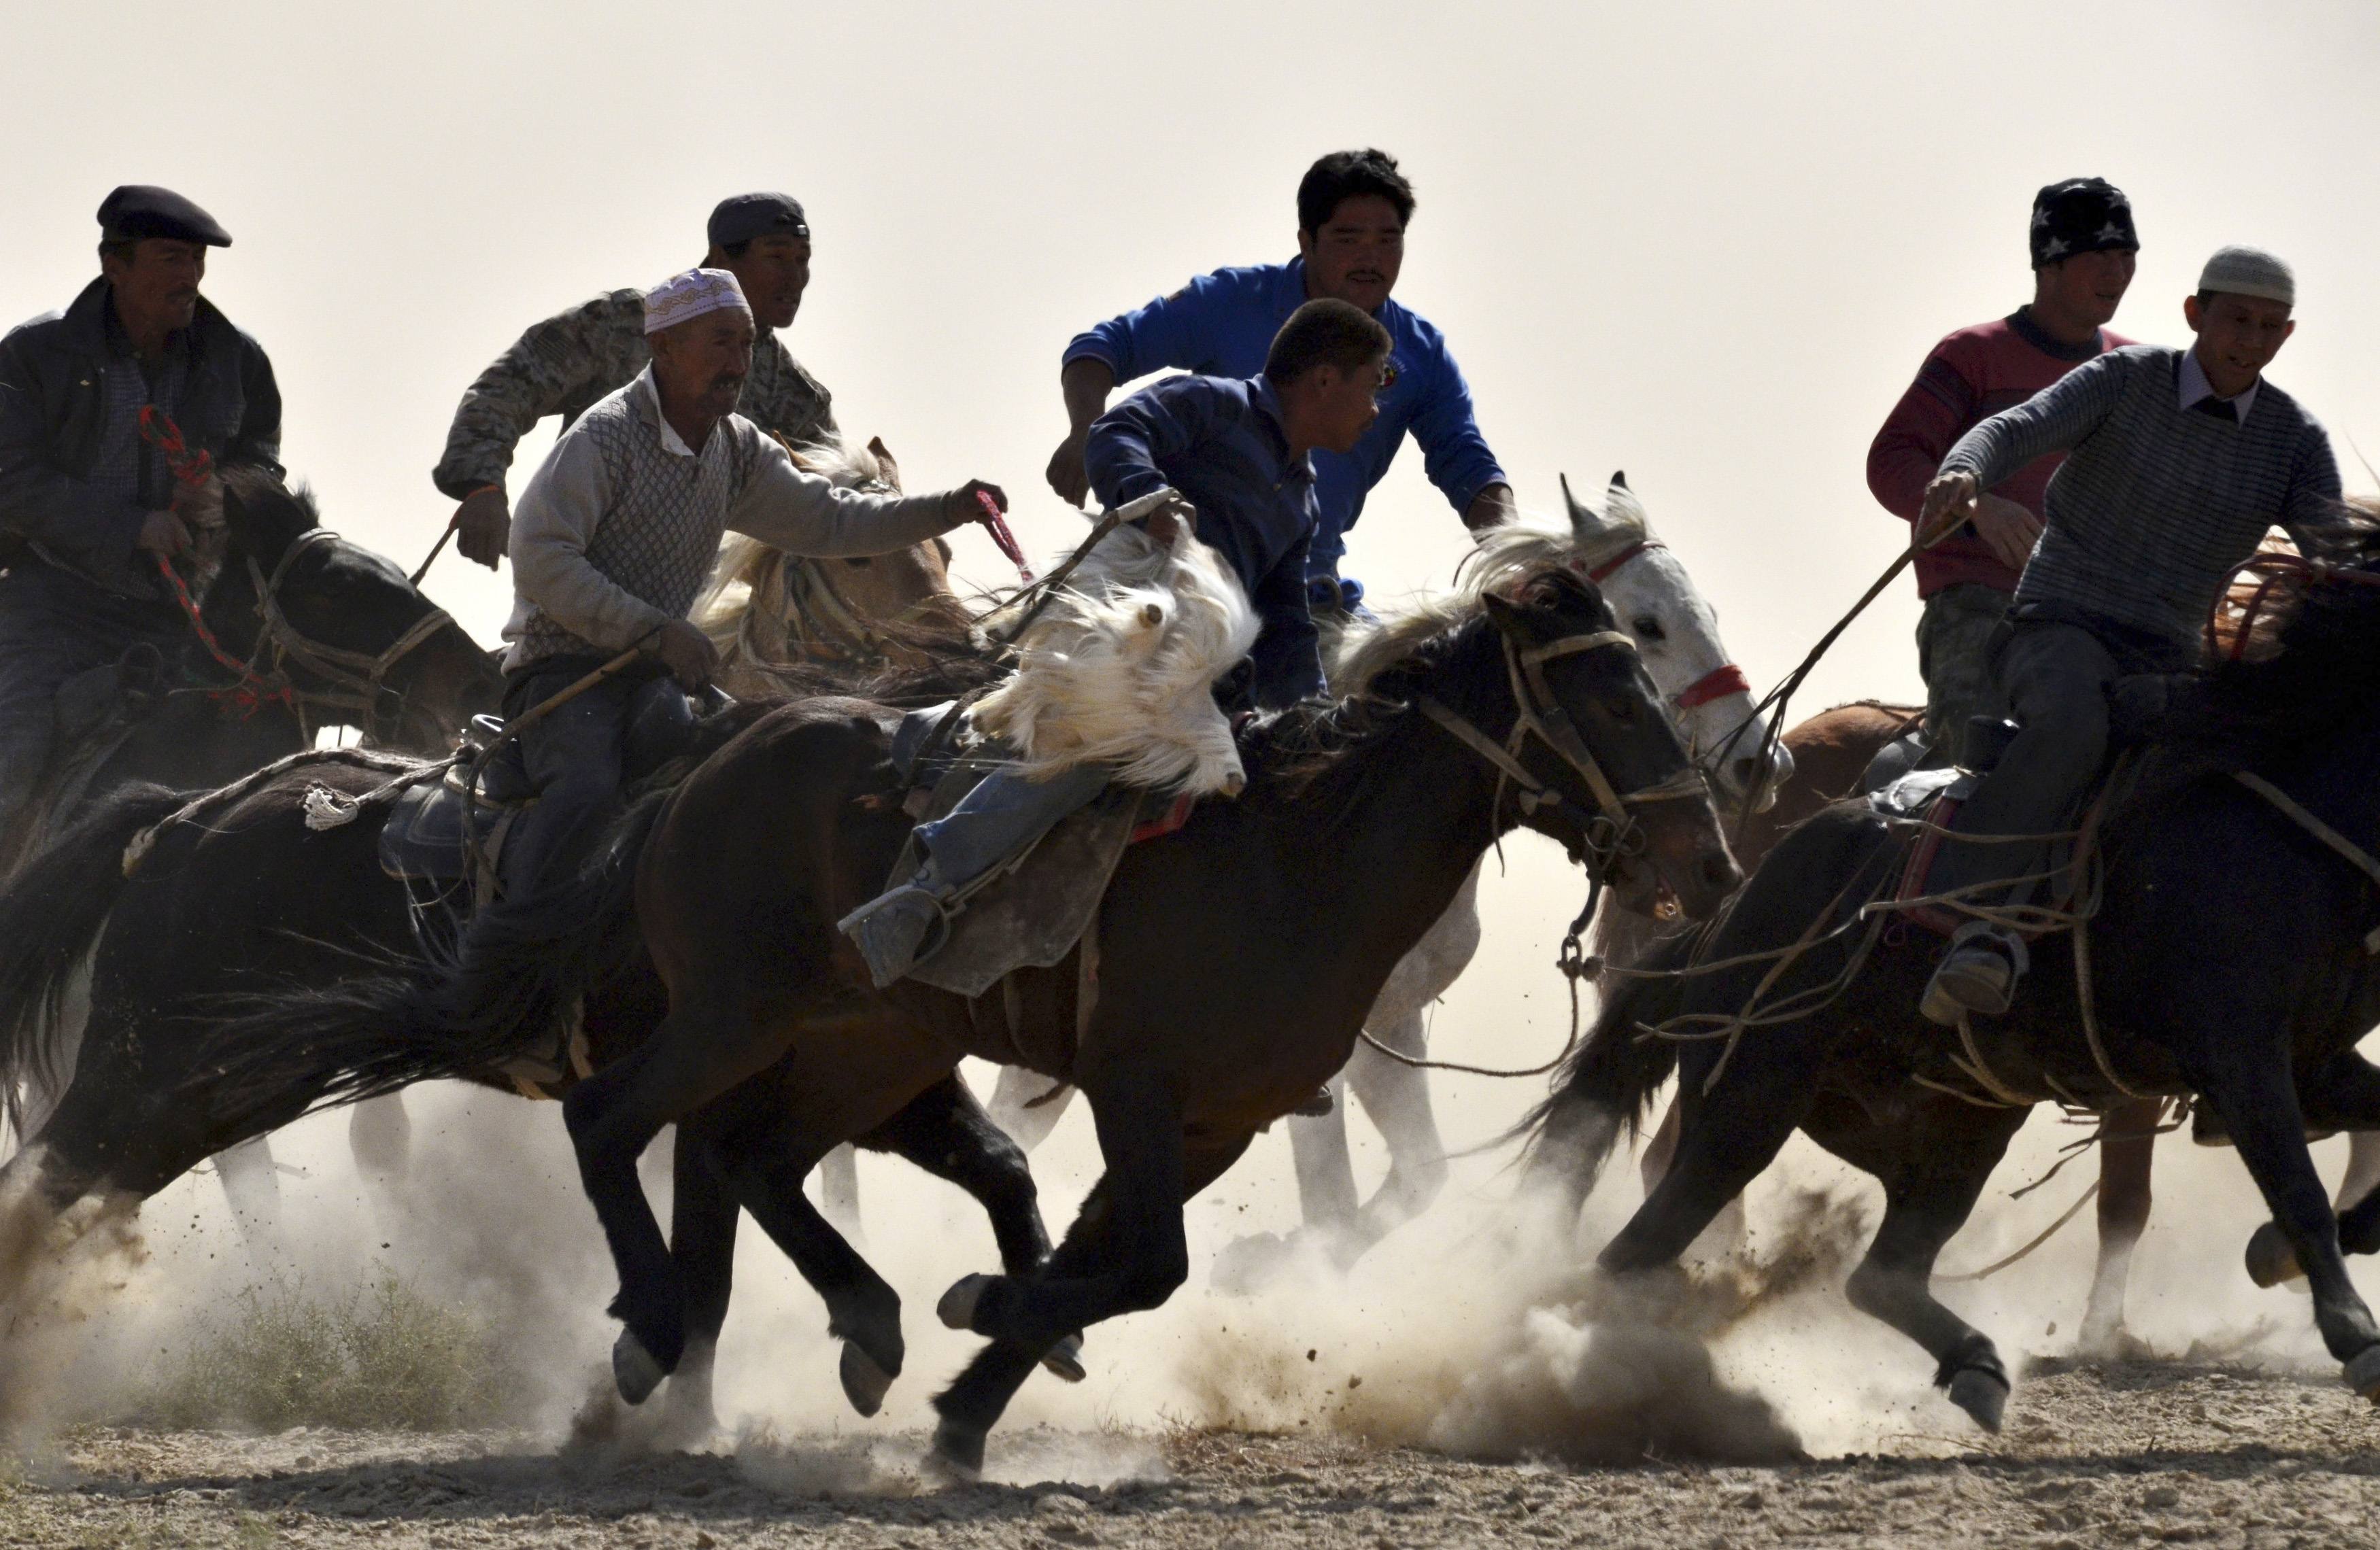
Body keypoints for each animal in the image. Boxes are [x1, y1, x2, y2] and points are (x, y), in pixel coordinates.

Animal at [981, 476, 1790, 1286]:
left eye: (1708, 612)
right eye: (1648, 625)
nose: (1763, 760)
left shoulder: (1389, 1031)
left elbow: (1417, 1179)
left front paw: (1264, 1261)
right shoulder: (1311, 1061)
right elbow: (1333, 1194)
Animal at [1523, 533, 2380, 1428]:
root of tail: (1731, 911)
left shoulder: (2310, 1065)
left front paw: (2277, 1257)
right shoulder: (2236, 1058)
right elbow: (2285, 1190)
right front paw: (2349, 1334)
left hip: (1960, 1122)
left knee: (1882, 1272)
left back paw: (1971, 1364)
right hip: (1749, 1104)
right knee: (1641, 1240)